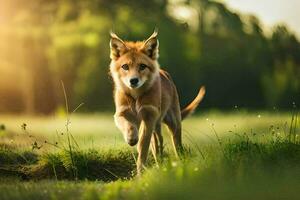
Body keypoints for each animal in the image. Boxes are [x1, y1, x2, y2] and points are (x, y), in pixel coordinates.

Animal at [109, 30, 205, 174]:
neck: (137, 96)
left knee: (176, 145)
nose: (133, 80)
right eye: (125, 66)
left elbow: (143, 147)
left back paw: (179, 162)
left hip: (173, 123)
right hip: (156, 126)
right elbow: (129, 126)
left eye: (142, 66)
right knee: (158, 143)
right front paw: (131, 138)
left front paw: (140, 172)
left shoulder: (149, 115)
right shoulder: (122, 113)